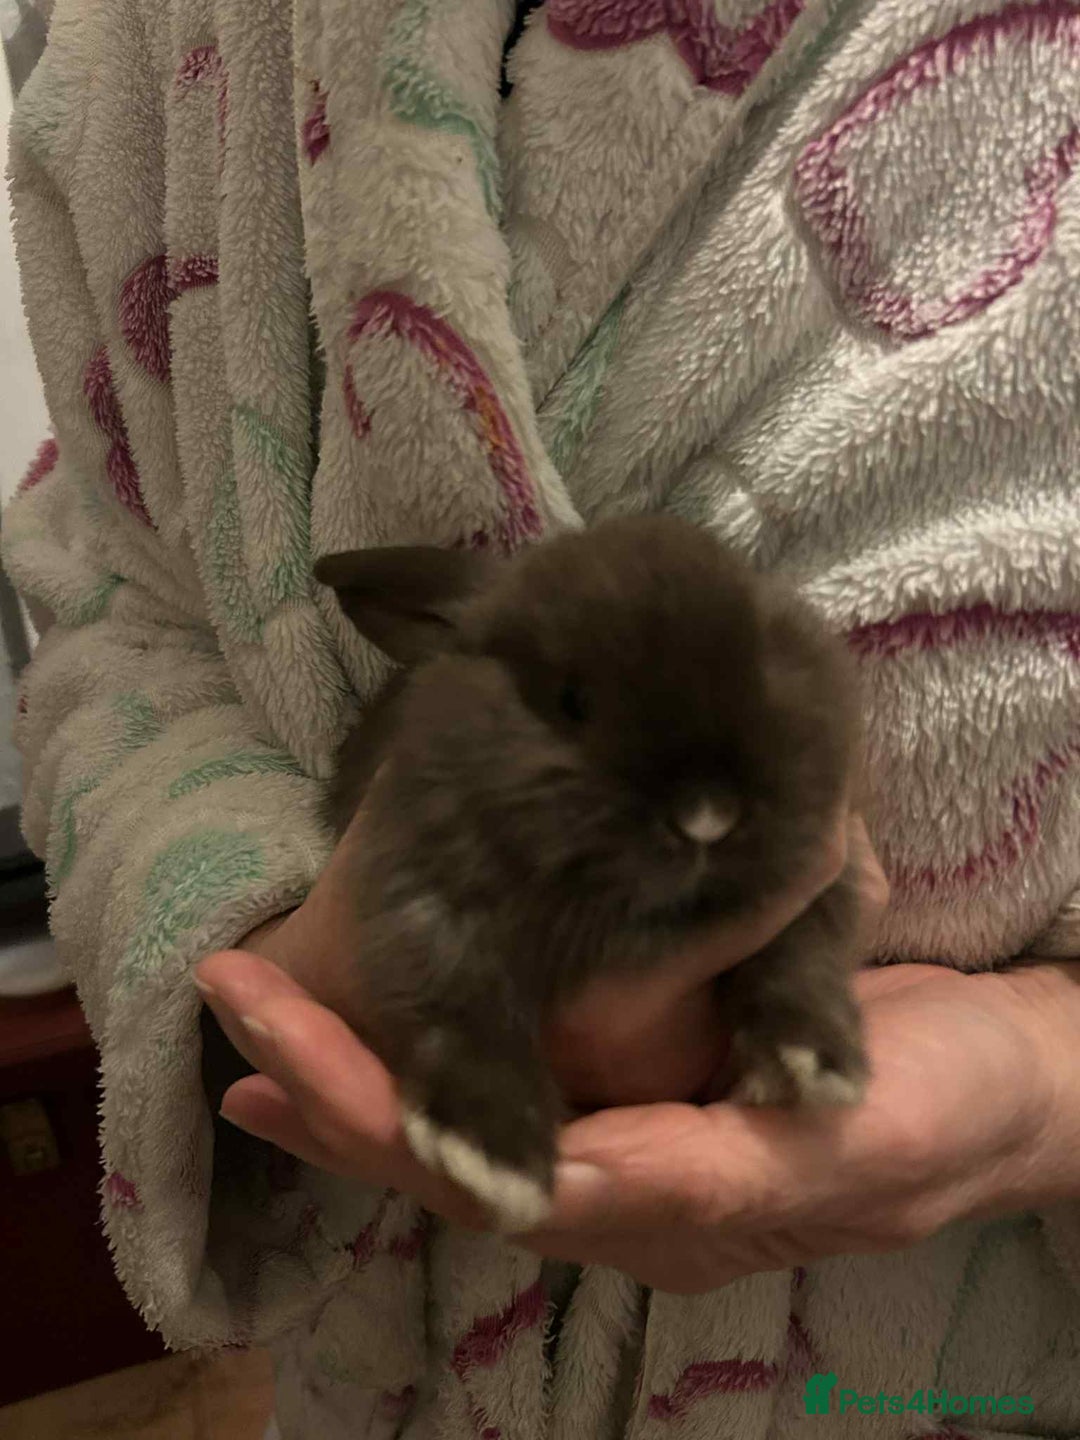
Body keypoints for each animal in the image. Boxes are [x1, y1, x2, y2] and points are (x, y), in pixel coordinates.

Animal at [313, 515, 870, 1233]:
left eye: (767, 664)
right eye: (573, 701)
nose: (707, 816)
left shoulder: (812, 891)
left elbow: (799, 959)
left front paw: (818, 1059)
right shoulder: (425, 898)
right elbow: (462, 1000)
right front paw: (493, 1156)